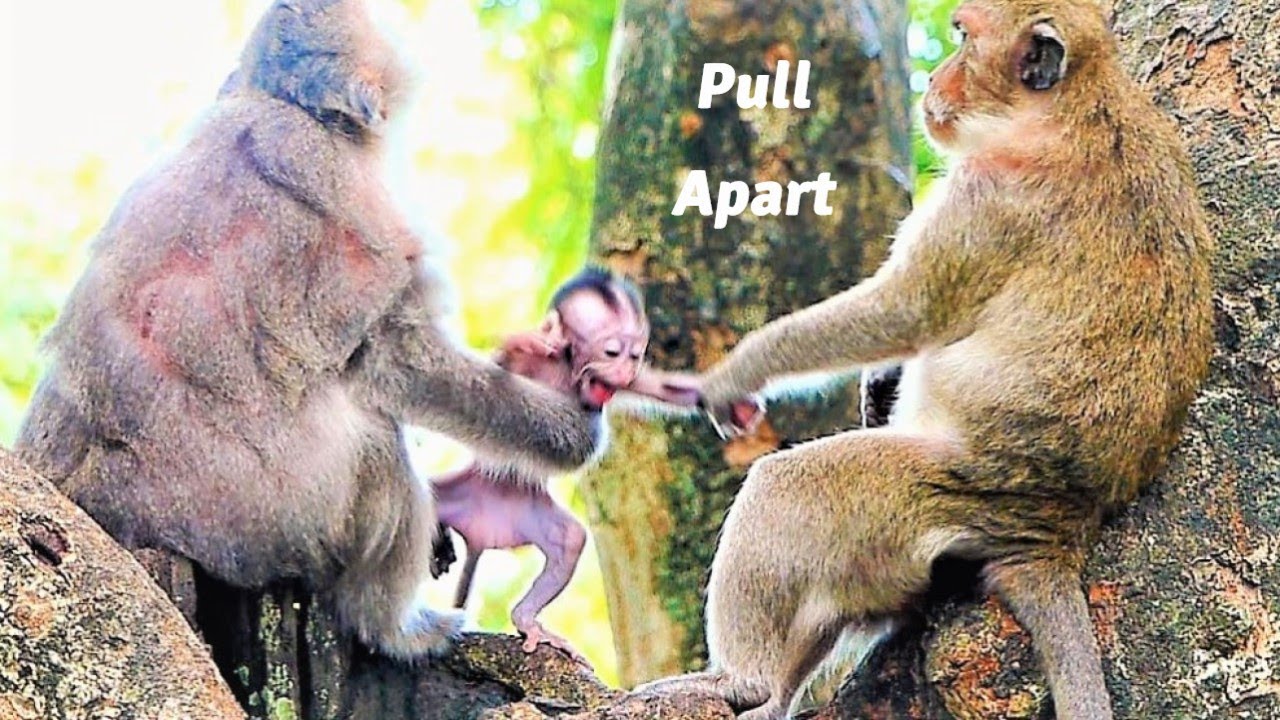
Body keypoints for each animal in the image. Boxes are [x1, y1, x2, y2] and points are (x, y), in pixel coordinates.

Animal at [13, 0, 604, 661]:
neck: (288, 109)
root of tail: (100, 505)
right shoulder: (354, 193)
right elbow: (398, 358)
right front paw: (570, 431)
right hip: (250, 517)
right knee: (374, 443)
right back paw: (392, 625)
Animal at [433, 267, 718, 661]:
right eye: (612, 351)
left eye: (635, 355)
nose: (624, 371)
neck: (567, 369)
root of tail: (485, 531)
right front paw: (526, 342)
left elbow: (663, 389)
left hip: (526, 511)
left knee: (569, 540)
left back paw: (526, 620)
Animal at [639, 2, 1214, 719]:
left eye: (963, 37)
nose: (936, 78)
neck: (1082, 104)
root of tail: (1054, 532)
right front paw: (876, 379)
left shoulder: (987, 196)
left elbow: (905, 313)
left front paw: (739, 371)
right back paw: (769, 697)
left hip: (924, 498)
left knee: (787, 488)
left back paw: (739, 682)